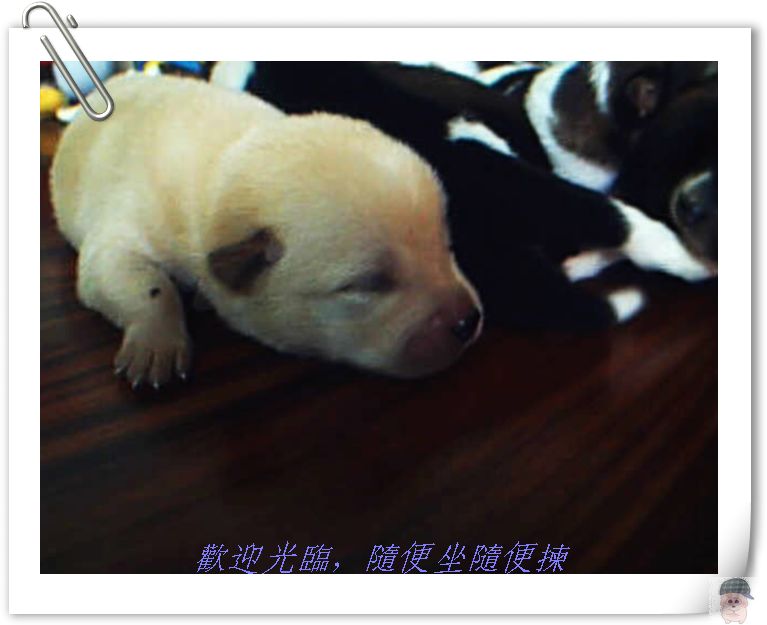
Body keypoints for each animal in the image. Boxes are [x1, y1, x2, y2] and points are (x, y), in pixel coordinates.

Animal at [51, 73, 483, 387]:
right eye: (368, 285)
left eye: (446, 246)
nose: (469, 321)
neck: (225, 179)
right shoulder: (125, 227)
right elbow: (143, 283)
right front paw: (156, 346)